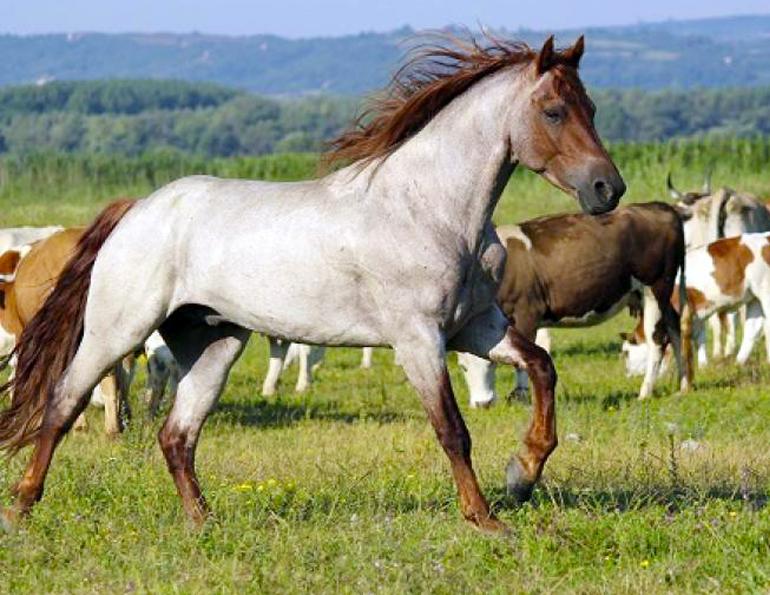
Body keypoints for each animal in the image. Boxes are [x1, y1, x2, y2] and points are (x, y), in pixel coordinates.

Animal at [0, 33, 624, 534]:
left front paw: (522, 472)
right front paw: (486, 518)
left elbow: (542, 369)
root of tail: (137, 210)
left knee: (177, 435)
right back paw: (22, 509)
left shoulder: (478, 327)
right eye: (553, 111)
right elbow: (453, 430)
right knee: (62, 404)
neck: (431, 208)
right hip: (118, 331)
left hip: (214, 344)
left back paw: (204, 523)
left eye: (591, 107)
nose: (607, 189)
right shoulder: (419, 339)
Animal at [457, 202, 685, 405]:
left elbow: (522, 360)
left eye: (492, 363)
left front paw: (520, 397)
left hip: (655, 289)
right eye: (462, 367)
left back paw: (645, 392)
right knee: (675, 326)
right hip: (652, 296)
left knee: (657, 340)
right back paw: (684, 385)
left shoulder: (526, 313)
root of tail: (659, 206)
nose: (483, 404)